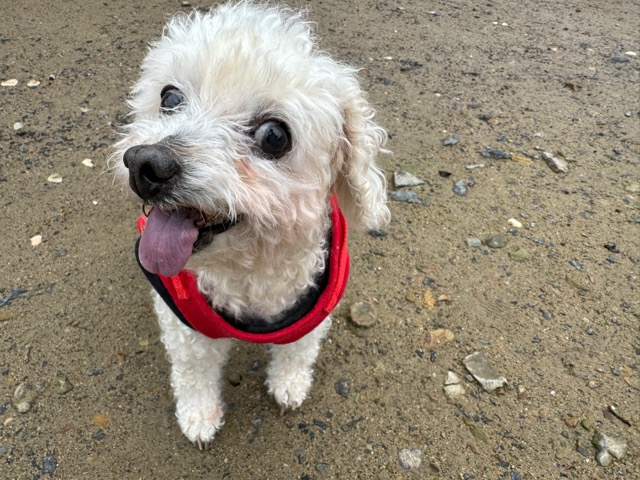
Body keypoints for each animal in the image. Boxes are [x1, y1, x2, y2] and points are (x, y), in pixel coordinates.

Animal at [111, 0, 389, 448]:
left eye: (274, 136)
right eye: (169, 97)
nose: (145, 164)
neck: (250, 272)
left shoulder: (313, 310)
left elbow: (298, 351)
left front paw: (290, 383)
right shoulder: (185, 322)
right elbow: (193, 372)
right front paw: (199, 414)